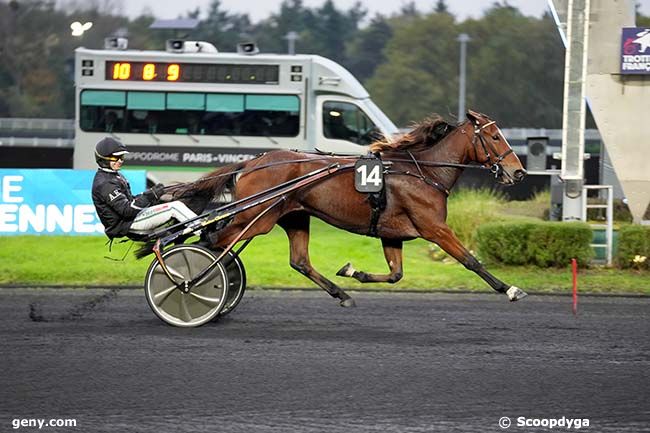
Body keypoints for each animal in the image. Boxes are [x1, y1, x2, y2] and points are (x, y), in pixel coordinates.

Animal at [166, 109, 528, 306]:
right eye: (495, 137)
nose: (518, 172)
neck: (423, 171)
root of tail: (254, 162)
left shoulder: (392, 233)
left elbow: (395, 274)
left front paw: (353, 271)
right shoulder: (434, 228)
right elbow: (470, 260)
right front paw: (510, 289)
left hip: (291, 216)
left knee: (297, 261)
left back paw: (342, 293)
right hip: (256, 217)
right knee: (214, 242)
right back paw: (192, 282)